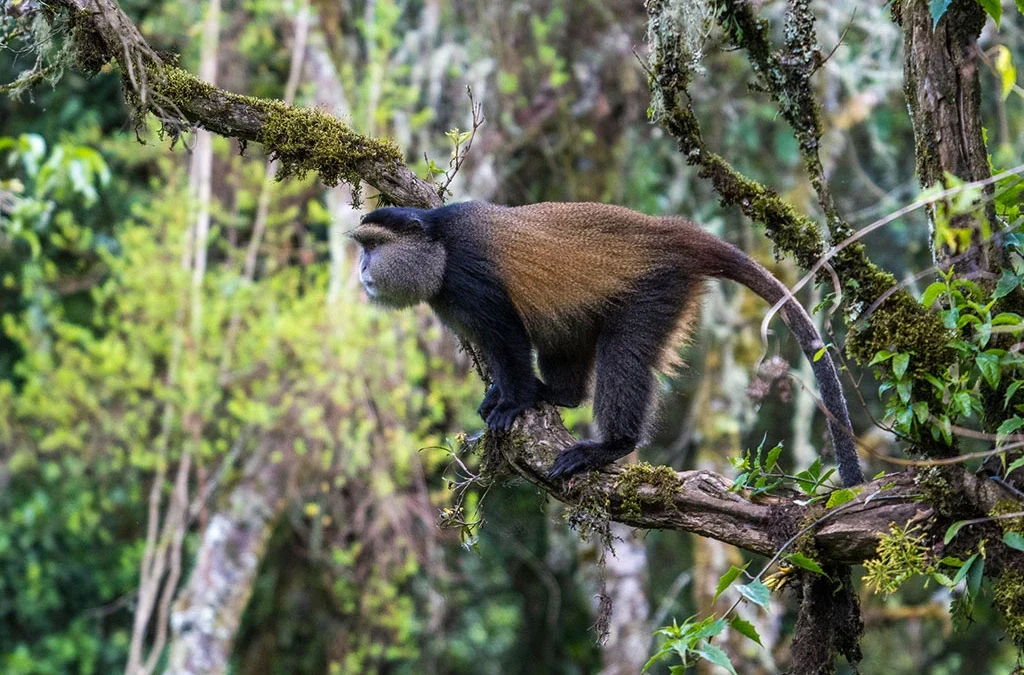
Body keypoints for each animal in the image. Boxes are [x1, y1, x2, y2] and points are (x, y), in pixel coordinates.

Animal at [351, 201, 864, 487]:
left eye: (373, 246)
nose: (361, 269)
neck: (438, 244)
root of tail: (675, 231)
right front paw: (508, 394)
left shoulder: (470, 279)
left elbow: (507, 337)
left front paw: (512, 402)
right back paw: (558, 394)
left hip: (656, 291)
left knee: (625, 356)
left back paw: (612, 445)